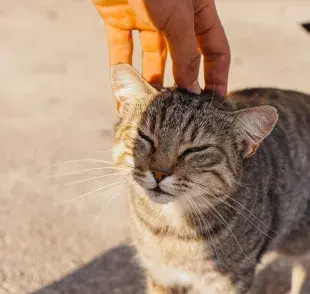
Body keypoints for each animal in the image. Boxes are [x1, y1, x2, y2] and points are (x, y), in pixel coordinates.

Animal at [110, 63, 308, 292]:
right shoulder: (162, 275)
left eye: (195, 149)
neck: (176, 228)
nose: (159, 173)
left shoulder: (231, 280)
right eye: (145, 137)